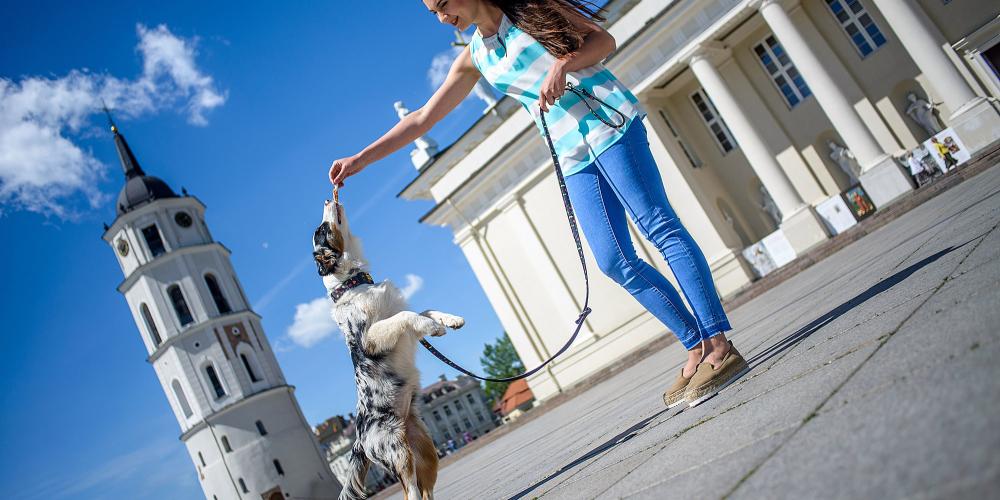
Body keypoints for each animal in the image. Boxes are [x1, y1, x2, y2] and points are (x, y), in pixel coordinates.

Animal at [312, 197, 464, 498]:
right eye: (321, 230)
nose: (327, 198)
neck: (354, 284)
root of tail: (359, 440)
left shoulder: (401, 317)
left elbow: (425, 310)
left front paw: (451, 320)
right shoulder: (370, 337)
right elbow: (408, 316)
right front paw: (435, 328)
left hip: (426, 450)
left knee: (423, 490)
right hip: (398, 452)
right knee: (410, 492)